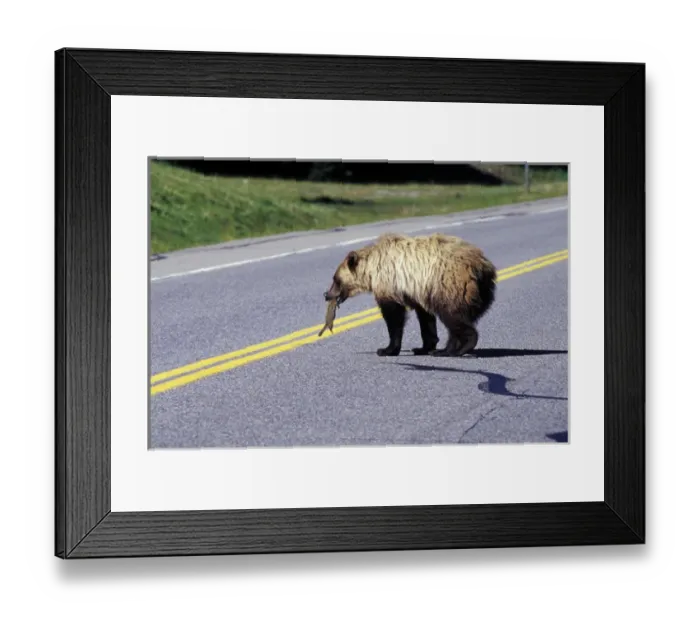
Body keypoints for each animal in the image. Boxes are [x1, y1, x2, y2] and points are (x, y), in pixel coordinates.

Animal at [323, 232, 497, 357]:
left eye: (335, 279)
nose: (326, 294)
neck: (372, 270)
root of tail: (483, 266)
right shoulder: (420, 288)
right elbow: (425, 318)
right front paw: (423, 346)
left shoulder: (390, 282)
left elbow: (394, 316)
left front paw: (386, 349)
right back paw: (445, 349)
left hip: (450, 285)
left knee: (452, 317)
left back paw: (457, 349)